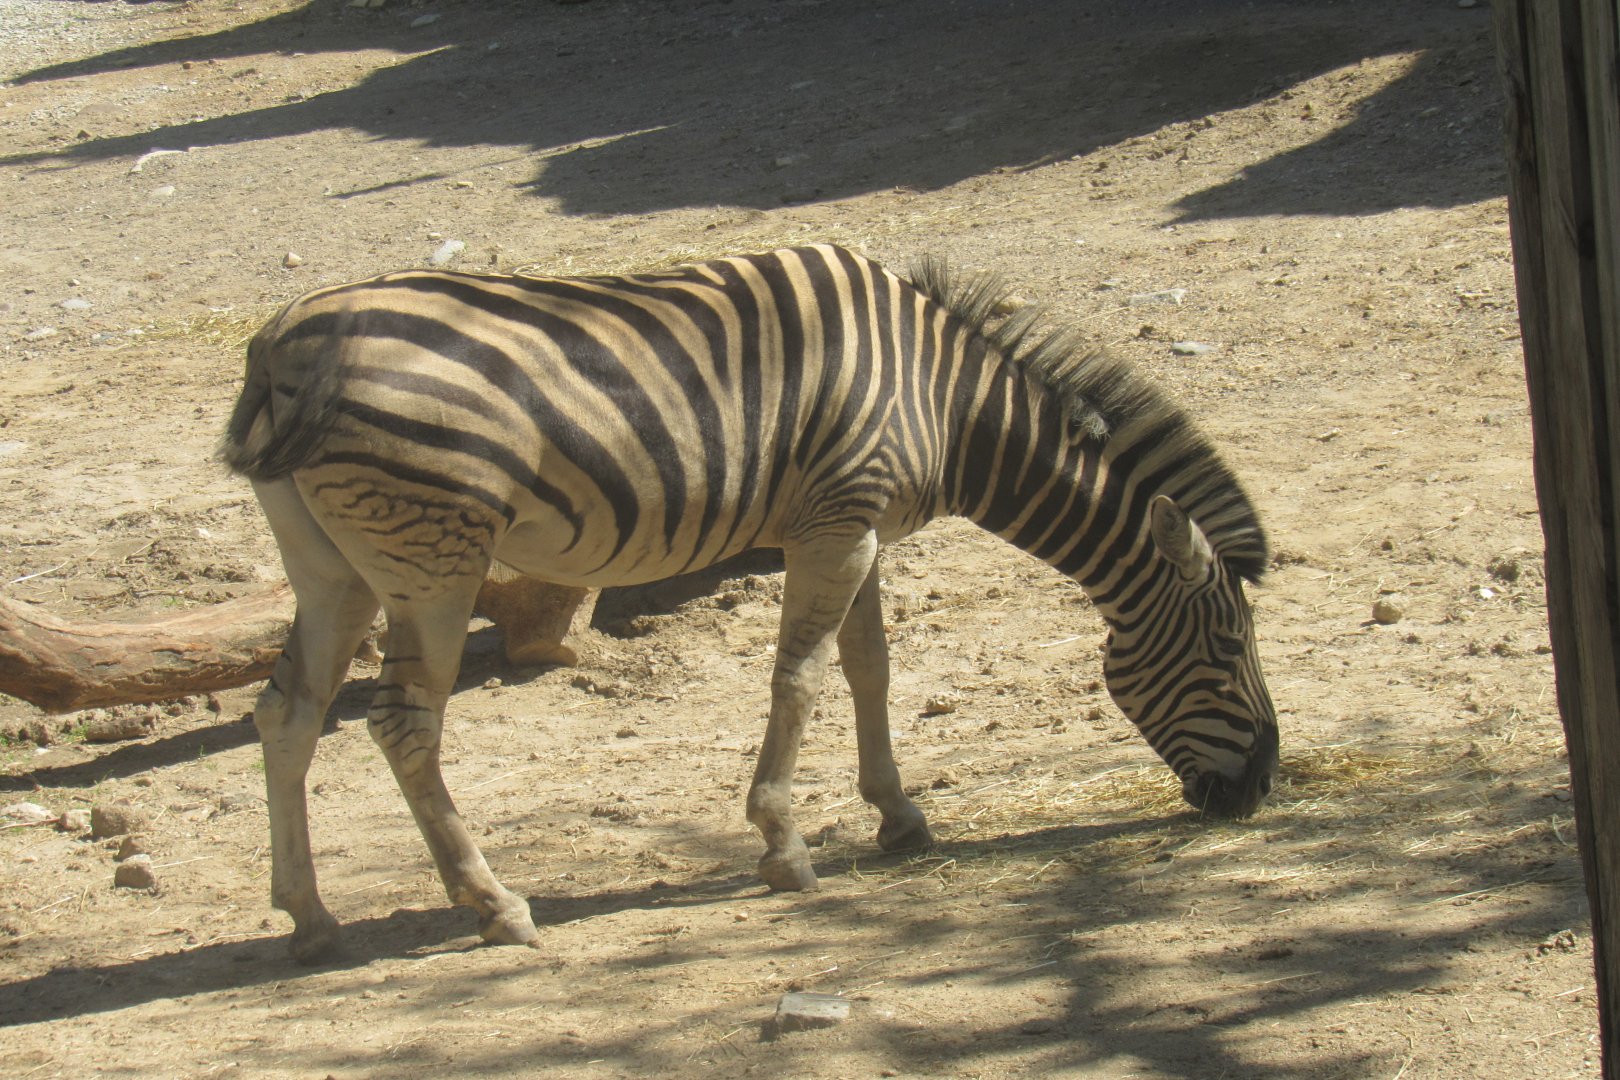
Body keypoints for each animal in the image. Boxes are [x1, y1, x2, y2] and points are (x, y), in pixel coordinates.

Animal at [222, 243, 1278, 963]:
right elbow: (800, 680)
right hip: (434, 558)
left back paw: (308, 916)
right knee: (403, 723)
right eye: (1229, 649)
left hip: (332, 567)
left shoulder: (857, 527)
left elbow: (869, 668)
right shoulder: (836, 523)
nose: (1263, 789)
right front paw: (784, 845)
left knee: (288, 712)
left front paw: (900, 817)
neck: (945, 400)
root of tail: (282, 339)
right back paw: (494, 904)